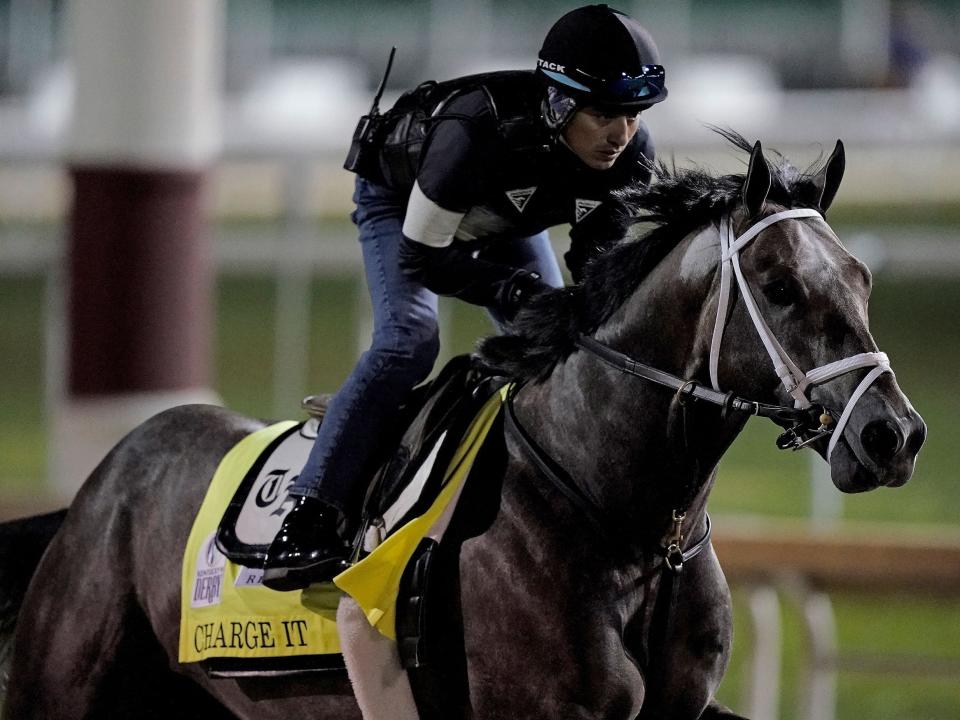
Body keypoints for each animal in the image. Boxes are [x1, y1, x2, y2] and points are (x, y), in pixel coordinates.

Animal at [3, 132, 928, 716]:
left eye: (860, 277)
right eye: (779, 286)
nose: (895, 436)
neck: (622, 522)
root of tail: (96, 490)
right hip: (60, 688)